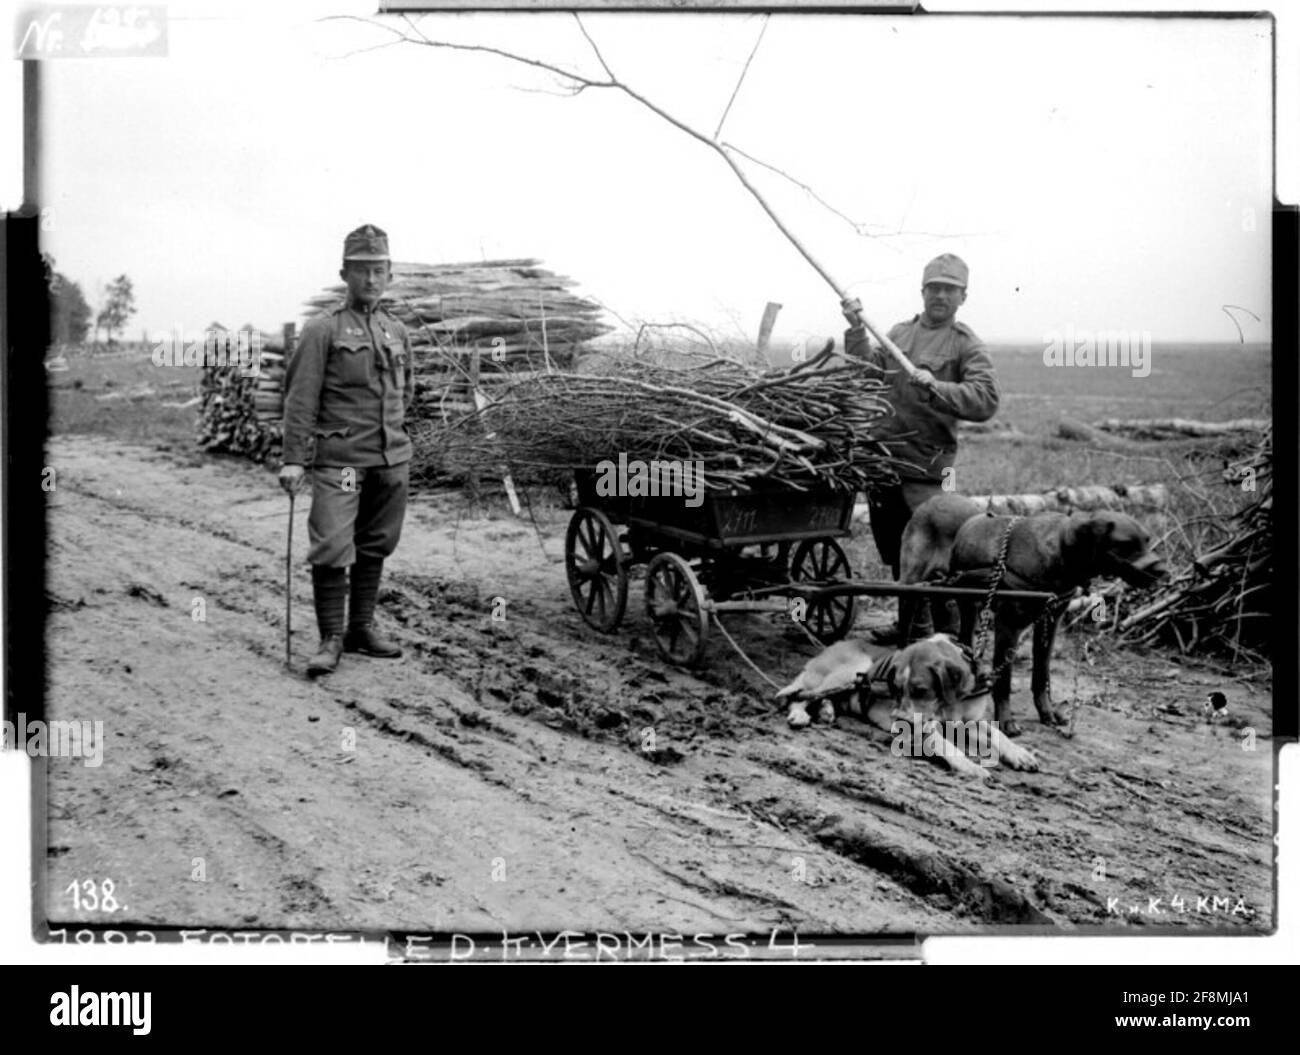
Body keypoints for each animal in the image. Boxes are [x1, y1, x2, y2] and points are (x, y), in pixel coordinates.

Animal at [774, 631, 1040, 779]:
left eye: (921, 690)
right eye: (896, 689)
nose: (900, 719)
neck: (950, 704)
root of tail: (835, 644)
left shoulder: (970, 721)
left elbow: (998, 734)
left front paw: (1020, 754)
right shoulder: (921, 730)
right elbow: (946, 744)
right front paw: (969, 766)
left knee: (819, 697)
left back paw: (826, 711)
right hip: (851, 670)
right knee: (800, 695)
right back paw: (800, 715)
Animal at [904, 493, 1170, 732]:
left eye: (1147, 540)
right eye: (1126, 545)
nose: (1162, 570)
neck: (1061, 554)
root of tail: (932, 499)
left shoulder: (1049, 624)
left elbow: (1042, 675)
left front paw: (1047, 712)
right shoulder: (1008, 626)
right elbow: (1004, 680)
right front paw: (1006, 720)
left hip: (964, 600)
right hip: (913, 585)